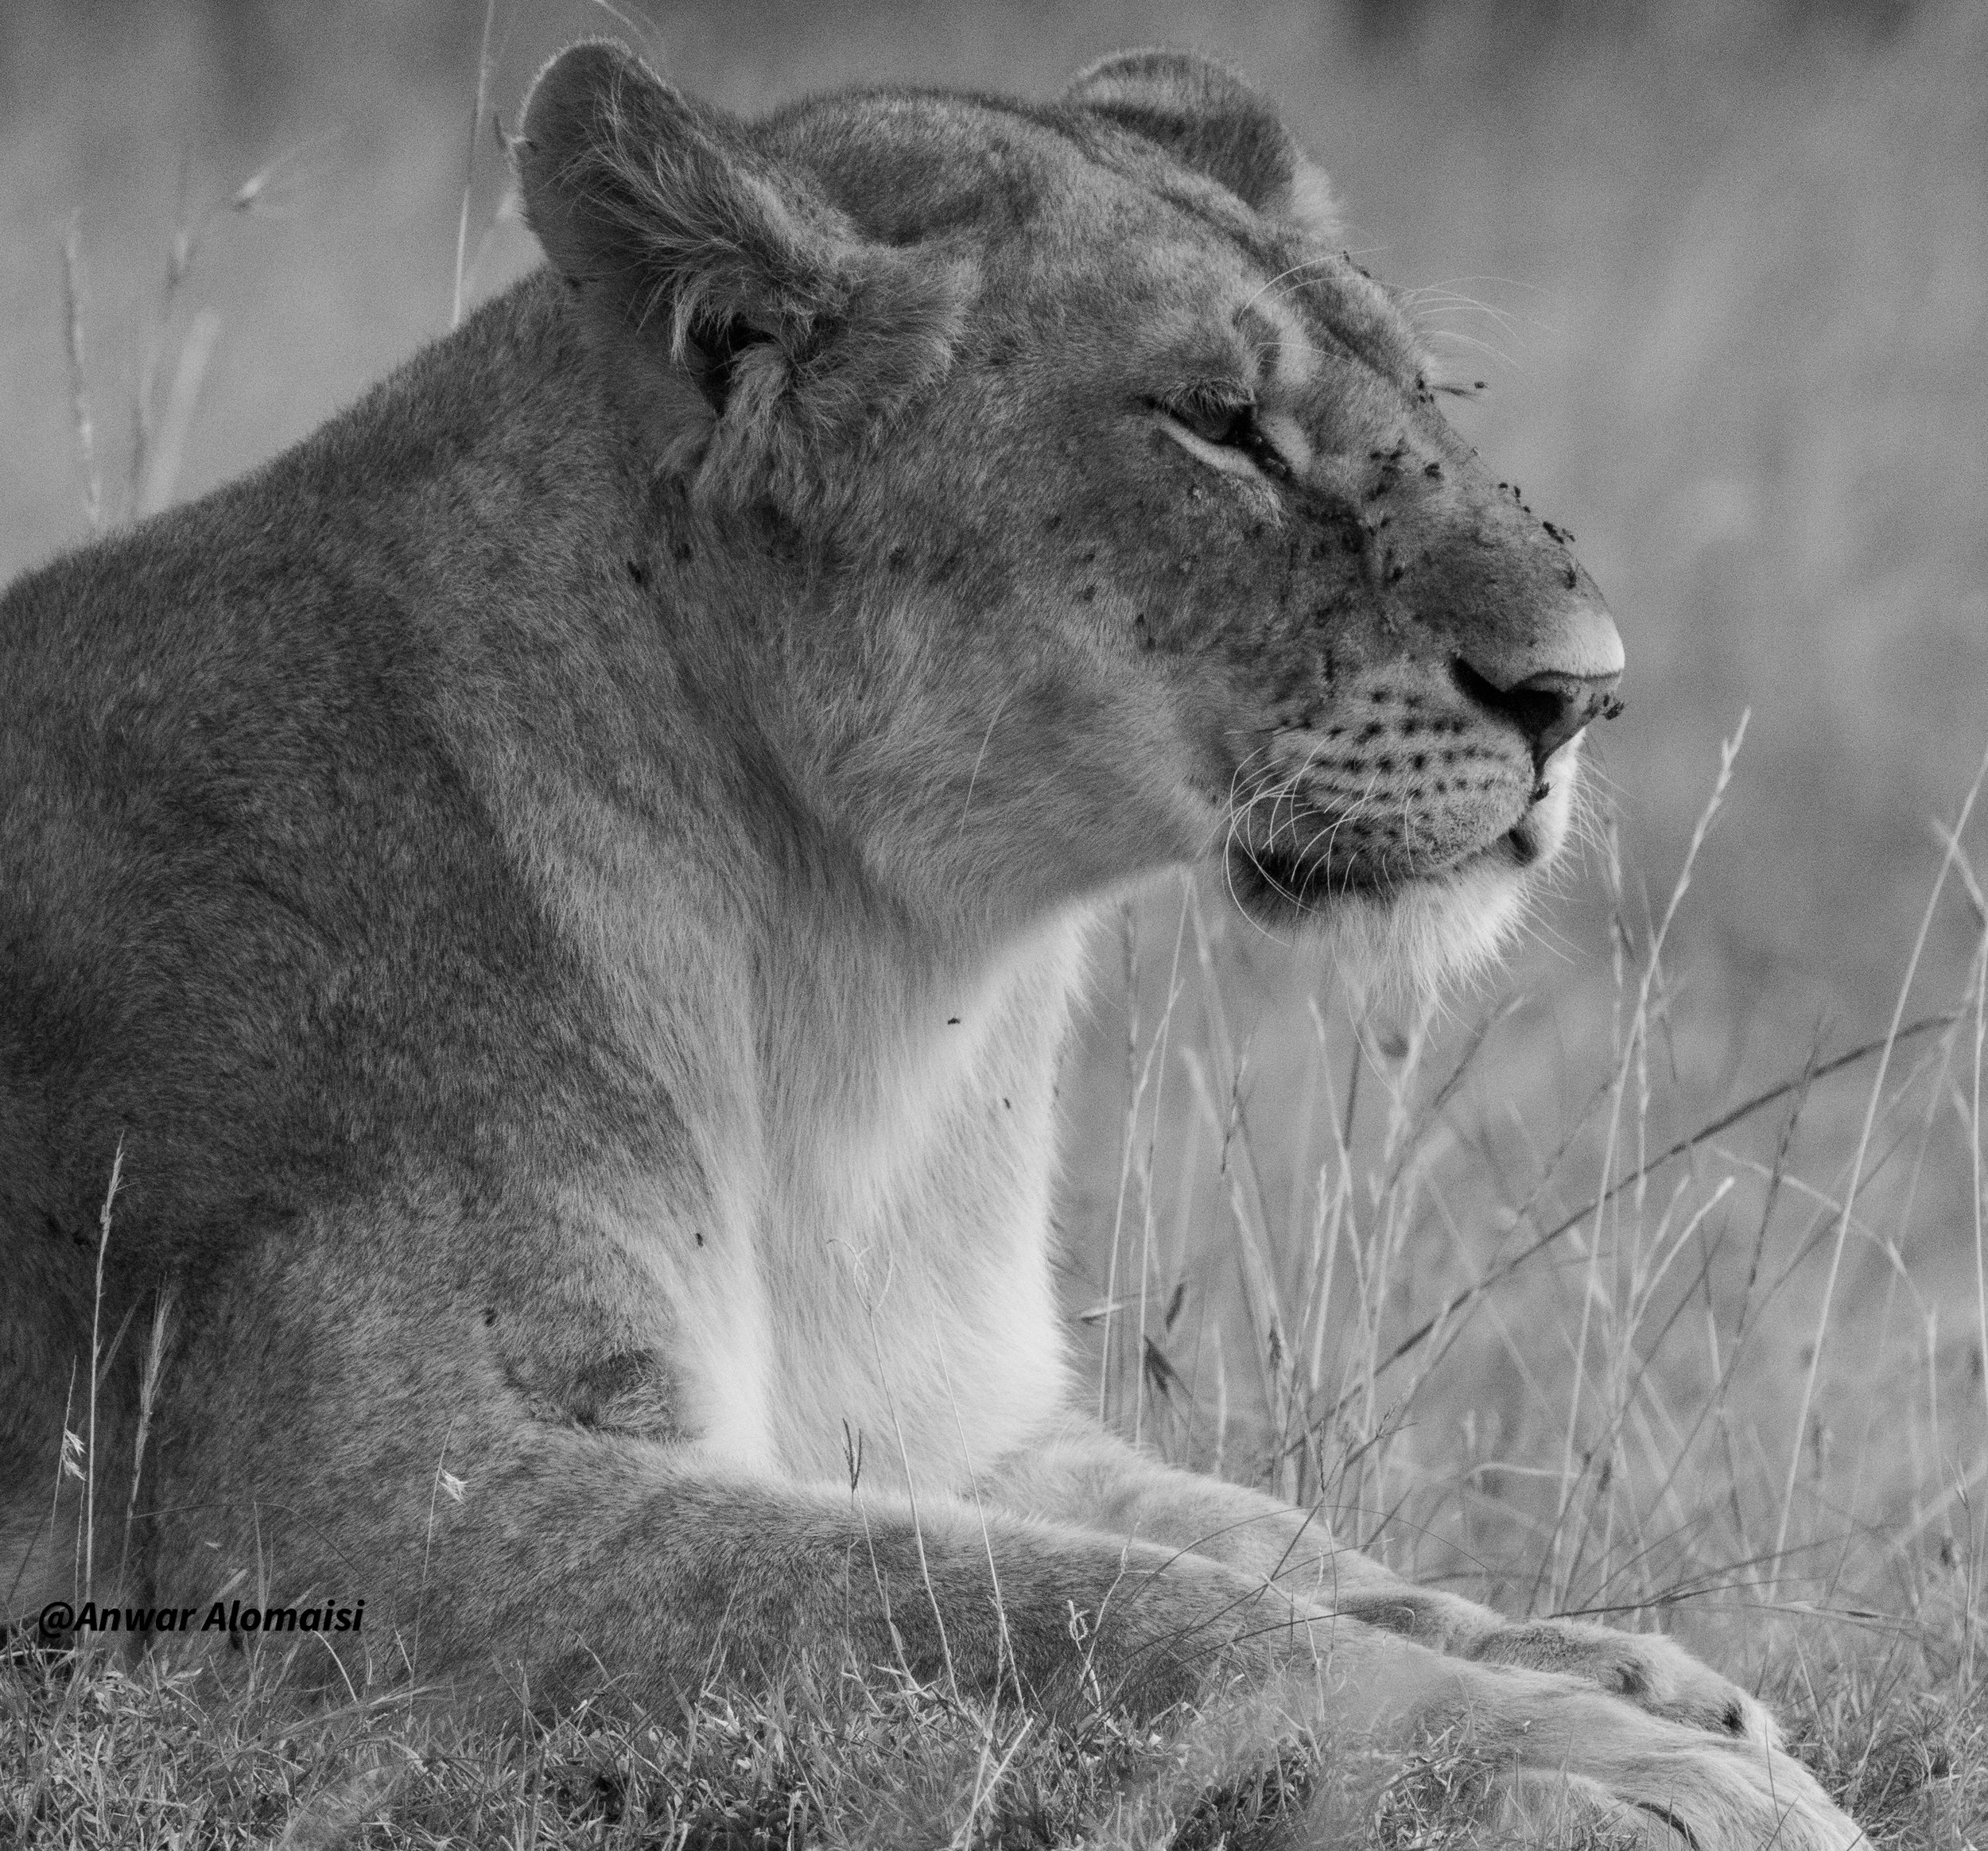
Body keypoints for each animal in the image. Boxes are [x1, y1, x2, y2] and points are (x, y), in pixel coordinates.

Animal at [0, 40, 1858, 1848]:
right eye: (1217, 425)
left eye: (1422, 396)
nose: (1582, 690)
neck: (857, 988)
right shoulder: (351, 1532)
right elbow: (1091, 1612)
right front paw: (1619, 1773)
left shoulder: (950, 1416)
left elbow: (1266, 1542)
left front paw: (1626, 1670)